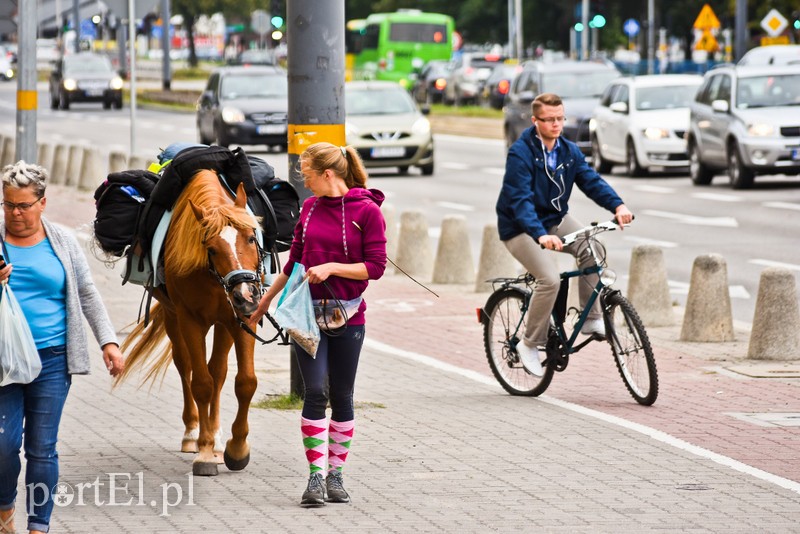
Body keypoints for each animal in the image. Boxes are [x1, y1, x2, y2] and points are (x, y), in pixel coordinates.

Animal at [117, 171, 264, 478]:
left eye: (250, 238)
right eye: (211, 248)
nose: (245, 293)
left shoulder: (242, 319)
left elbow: (245, 381)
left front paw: (236, 449)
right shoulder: (189, 320)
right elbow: (201, 384)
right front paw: (205, 452)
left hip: (223, 324)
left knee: (218, 371)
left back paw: (218, 438)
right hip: (174, 318)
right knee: (186, 366)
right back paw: (193, 434)